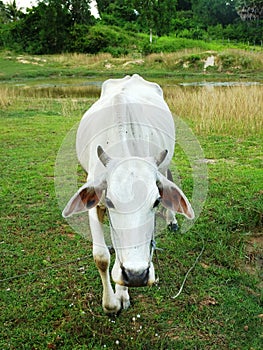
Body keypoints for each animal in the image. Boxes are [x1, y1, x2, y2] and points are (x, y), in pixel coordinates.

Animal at [62, 74, 194, 314]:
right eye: (110, 201)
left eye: (156, 201)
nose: (136, 275)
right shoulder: (96, 203)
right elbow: (101, 257)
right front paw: (111, 304)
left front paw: (122, 294)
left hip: (164, 166)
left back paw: (172, 221)